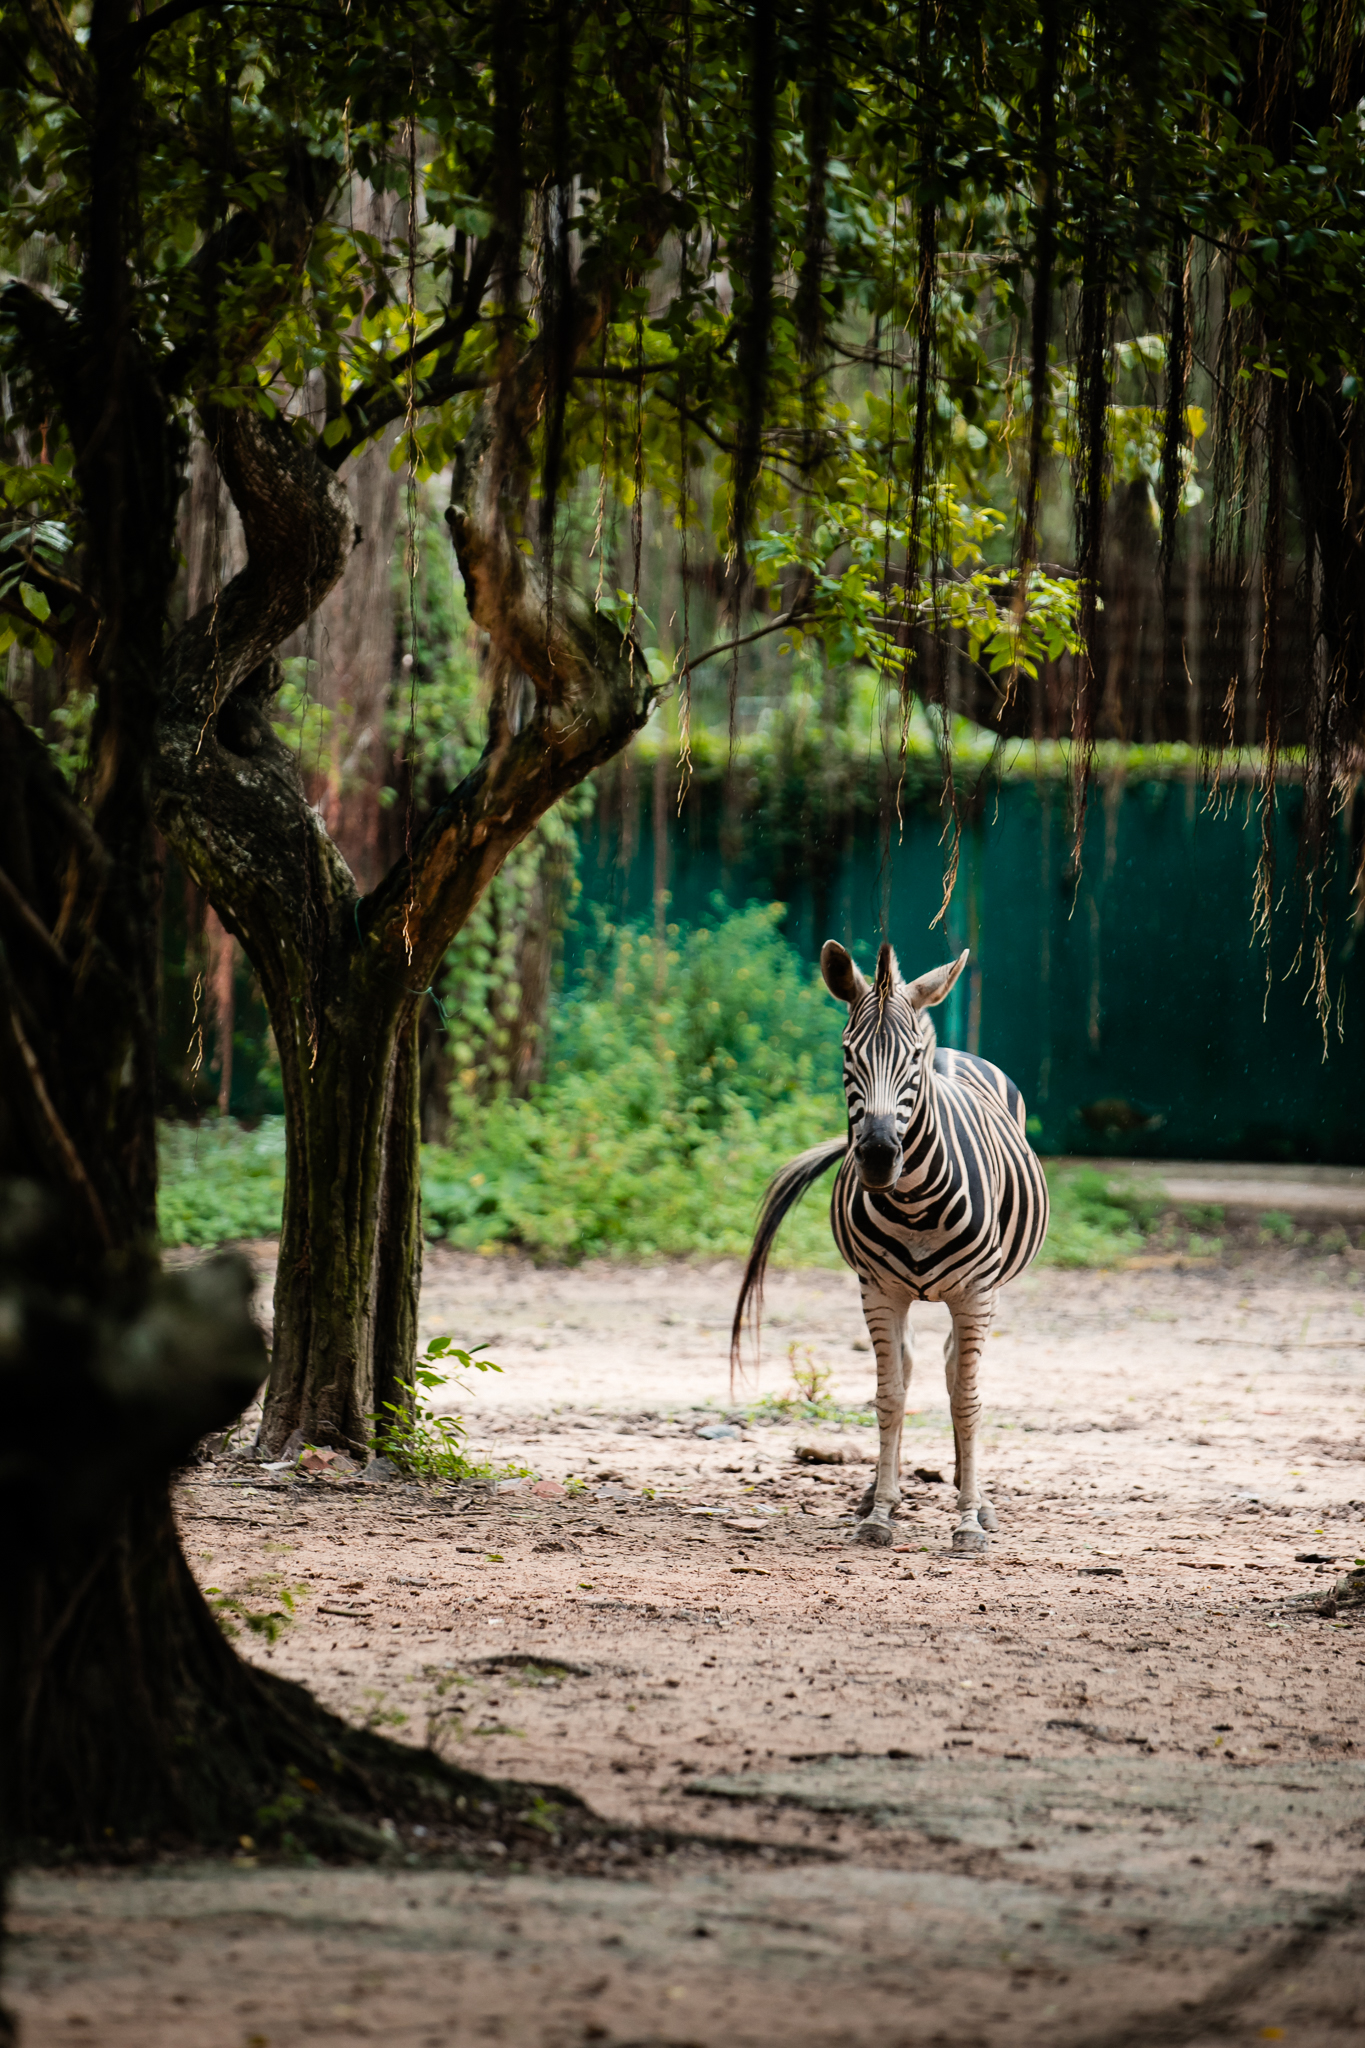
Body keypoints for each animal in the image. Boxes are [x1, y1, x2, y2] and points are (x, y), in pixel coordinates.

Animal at [736, 937, 1047, 1548]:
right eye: (847, 1054)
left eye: (912, 1059)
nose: (879, 1155)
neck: (914, 1203)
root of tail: (953, 1047)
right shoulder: (878, 1291)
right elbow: (890, 1395)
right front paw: (880, 1511)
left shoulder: (976, 1294)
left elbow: (967, 1399)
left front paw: (968, 1520)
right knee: (912, 1366)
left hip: (987, 1291)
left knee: (955, 1375)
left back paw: (975, 1496)